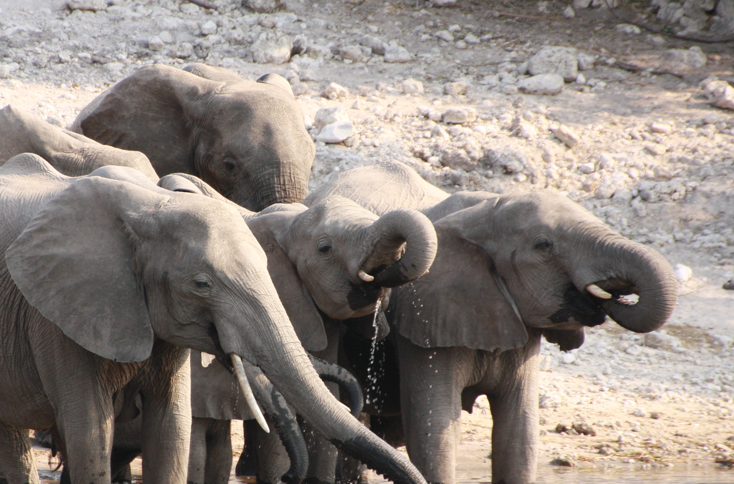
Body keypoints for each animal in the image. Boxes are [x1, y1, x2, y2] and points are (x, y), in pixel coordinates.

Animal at [0, 155, 432, 484]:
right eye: (202, 284)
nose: (290, 477)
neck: (151, 206)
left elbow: (171, 429)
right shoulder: (56, 313)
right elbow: (90, 431)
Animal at [302, 162, 680, 484]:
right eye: (544, 245)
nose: (613, 295)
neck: (486, 212)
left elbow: (518, 436)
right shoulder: (425, 319)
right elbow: (435, 432)